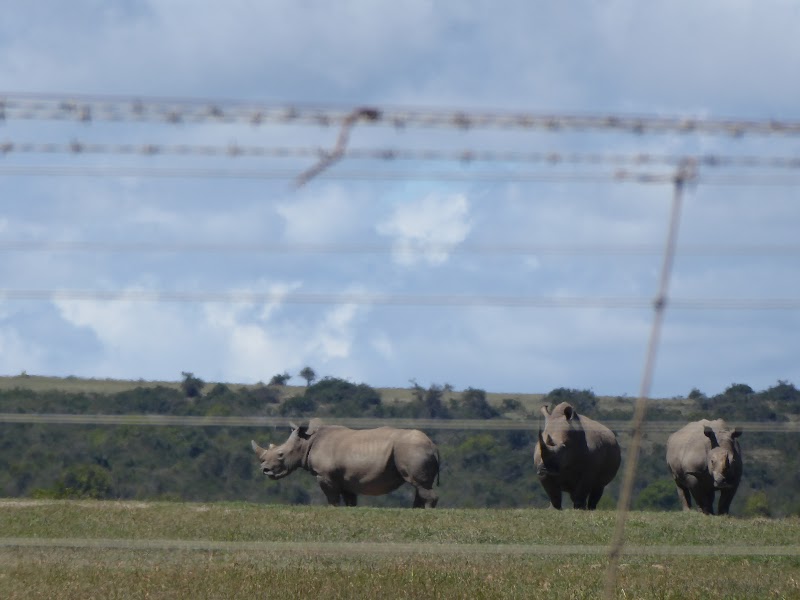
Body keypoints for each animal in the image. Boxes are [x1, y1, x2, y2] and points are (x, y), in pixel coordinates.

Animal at [250, 420, 438, 508]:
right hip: (413, 449)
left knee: (420, 485)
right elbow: (350, 500)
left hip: (411, 449)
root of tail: (432, 444)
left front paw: (332, 509)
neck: (307, 441)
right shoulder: (347, 478)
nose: (265, 470)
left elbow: (332, 497)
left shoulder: (324, 474)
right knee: (419, 486)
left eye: (281, 454)